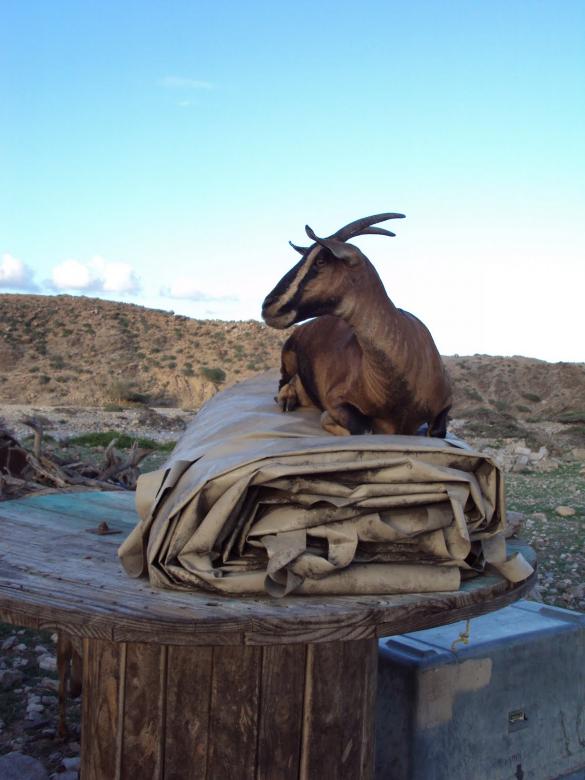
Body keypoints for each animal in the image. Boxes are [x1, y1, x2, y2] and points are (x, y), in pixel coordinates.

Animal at [261, 213, 452, 437]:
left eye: (320, 260)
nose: (268, 305)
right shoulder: (336, 401)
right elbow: (361, 428)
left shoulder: (444, 407)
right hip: (288, 359)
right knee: (283, 382)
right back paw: (287, 399)